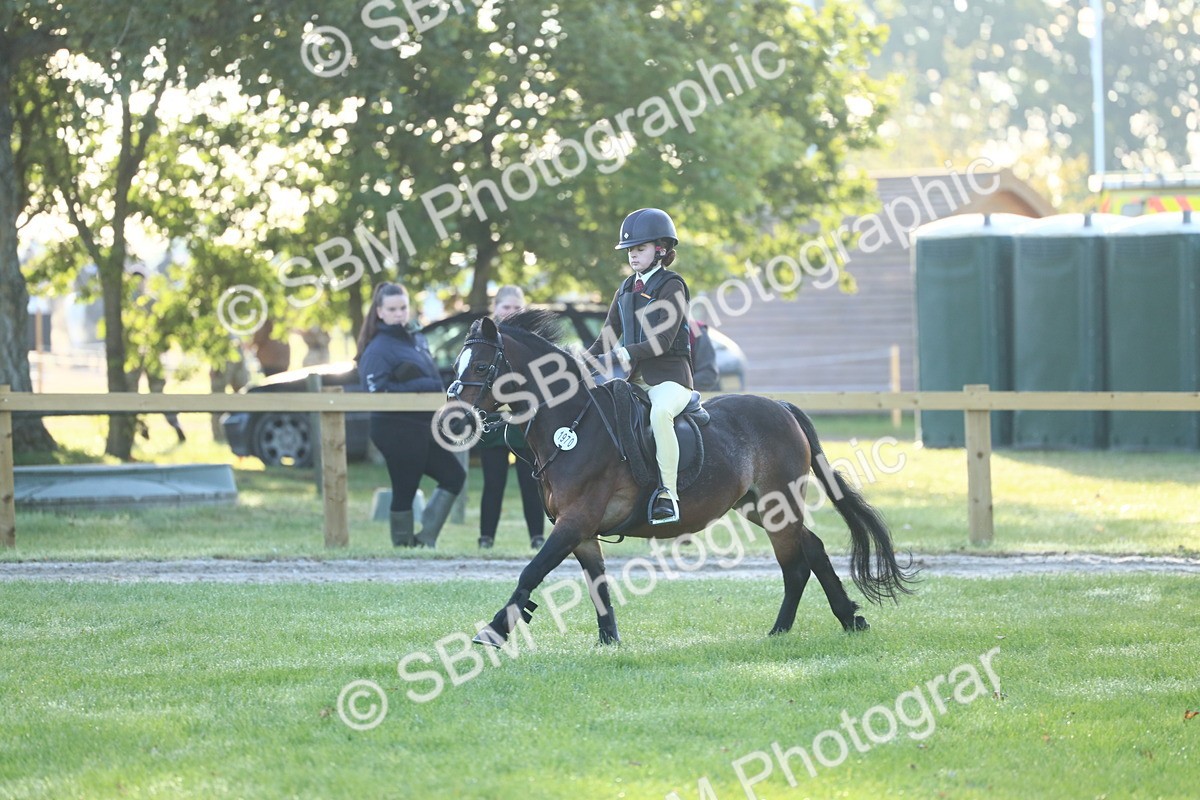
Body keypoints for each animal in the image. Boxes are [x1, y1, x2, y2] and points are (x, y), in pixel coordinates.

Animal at [444, 310, 916, 647]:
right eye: (457, 363)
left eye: (482, 366)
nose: (454, 419)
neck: (573, 424)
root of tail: (781, 406)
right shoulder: (581, 532)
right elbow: (597, 585)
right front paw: (609, 642)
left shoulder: (574, 521)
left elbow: (531, 572)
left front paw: (492, 631)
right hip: (758, 507)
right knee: (812, 549)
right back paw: (839, 619)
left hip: (777, 505)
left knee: (797, 562)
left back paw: (789, 629)